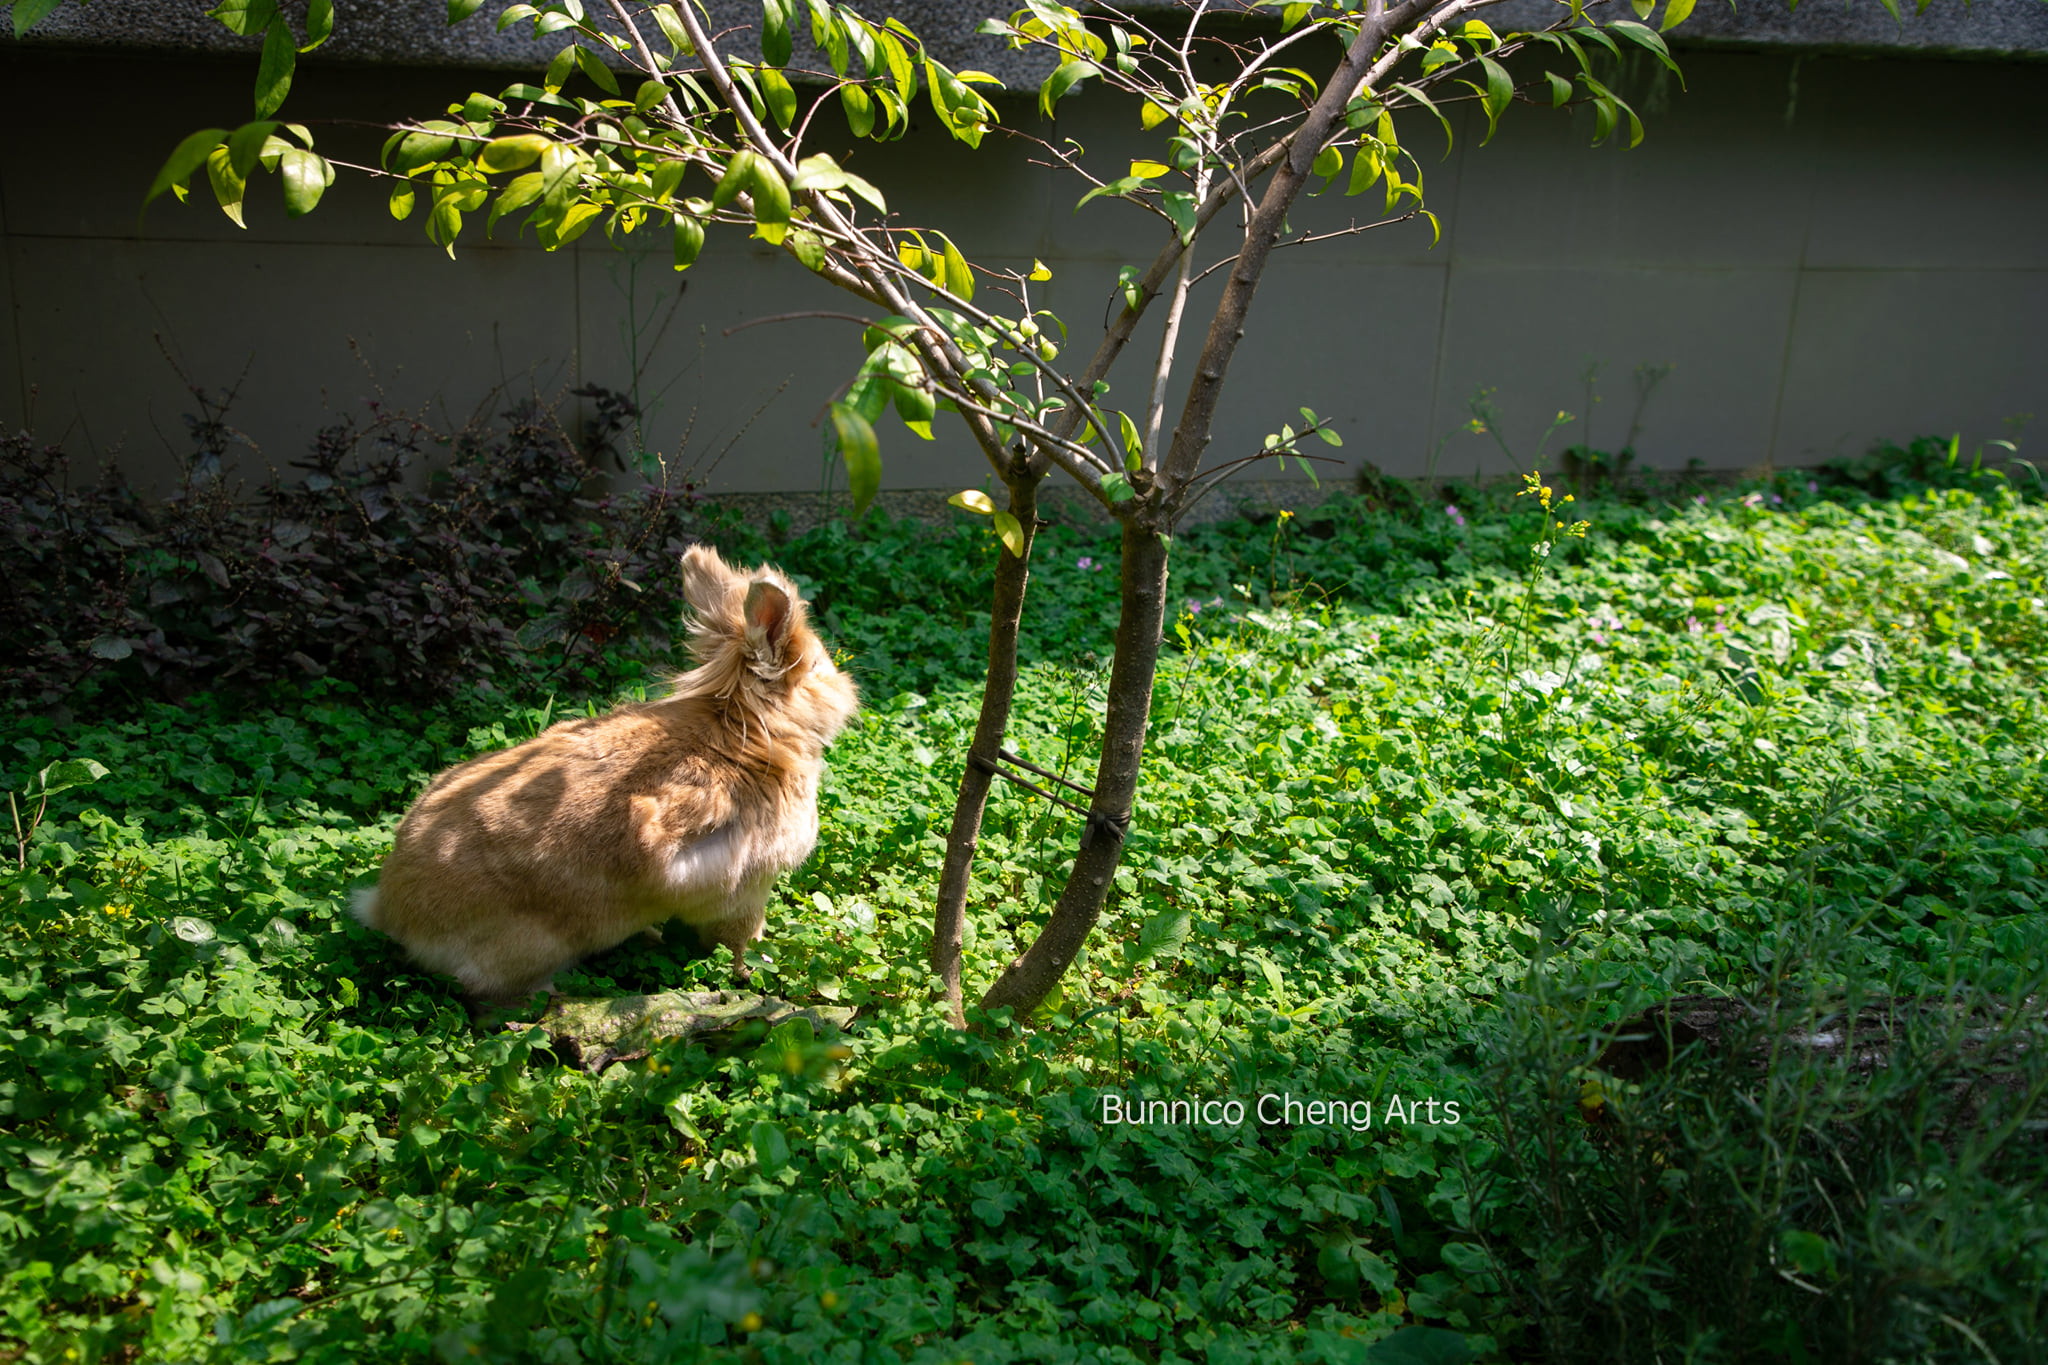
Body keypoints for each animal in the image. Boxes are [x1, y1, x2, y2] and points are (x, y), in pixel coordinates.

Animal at [351, 544, 860, 1005]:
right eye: (818, 669)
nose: (849, 689)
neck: (745, 731)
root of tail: (394, 914)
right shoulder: (745, 893)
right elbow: (739, 941)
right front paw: (754, 969)